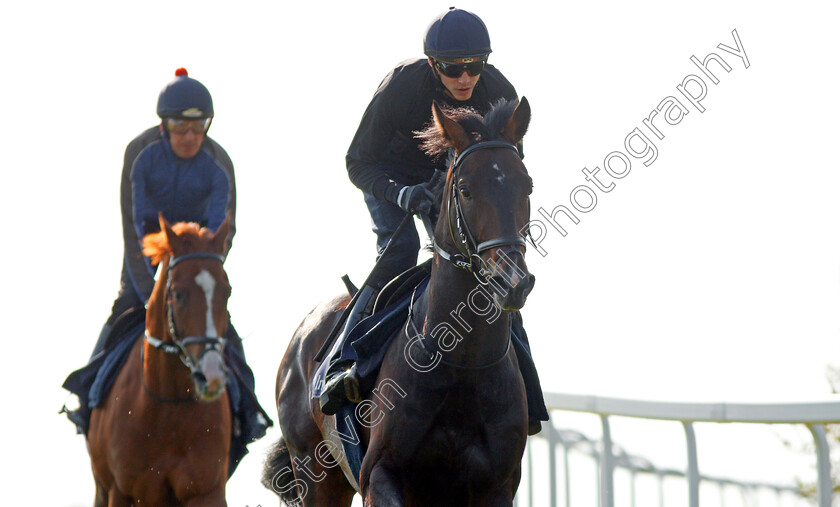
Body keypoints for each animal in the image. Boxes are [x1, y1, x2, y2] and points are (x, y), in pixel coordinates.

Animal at [88, 215, 233, 507]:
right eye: (178, 294)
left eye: (227, 292)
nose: (210, 377)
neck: (167, 406)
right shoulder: (121, 491)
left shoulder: (205, 491)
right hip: (101, 488)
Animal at [266, 97, 536, 506]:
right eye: (466, 189)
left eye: (527, 186)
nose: (512, 281)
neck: (461, 363)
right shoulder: (378, 471)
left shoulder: (497, 485)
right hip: (313, 469)